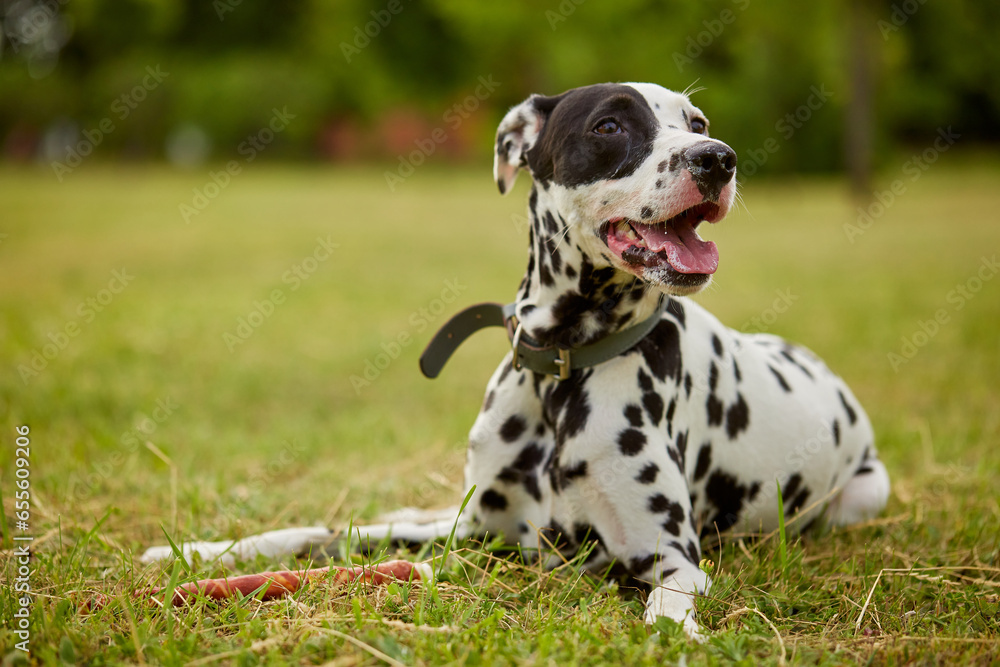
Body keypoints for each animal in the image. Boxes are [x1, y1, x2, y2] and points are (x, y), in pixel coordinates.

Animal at [143, 85, 892, 640]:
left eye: (697, 122)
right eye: (611, 124)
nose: (718, 157)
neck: (561, 368)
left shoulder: (670, 559)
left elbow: (665, 611)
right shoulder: (473, 530)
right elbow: (322, 533)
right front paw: (201, 553)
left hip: (865, 493)